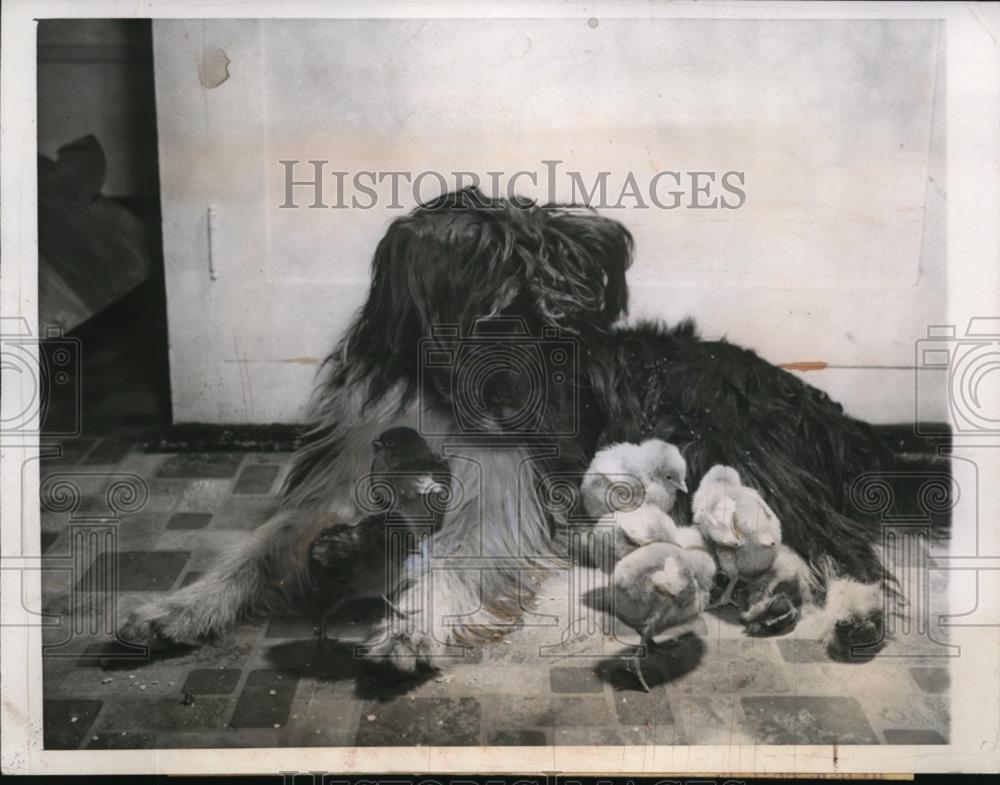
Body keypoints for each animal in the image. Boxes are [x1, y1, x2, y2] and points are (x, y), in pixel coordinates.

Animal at [121, 185, 896, 668]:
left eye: (564, 320)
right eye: (504, 315)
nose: (554, 402)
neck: (442, 402)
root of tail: (807, 396)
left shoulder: (502, 502)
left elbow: (459, 559)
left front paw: (413, 627)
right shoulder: (337, 482)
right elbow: (257, 548)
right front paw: (177, 608)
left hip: (728, 443)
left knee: (843, 545)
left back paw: (856, 614)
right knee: (790, 544)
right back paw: (777, 598)